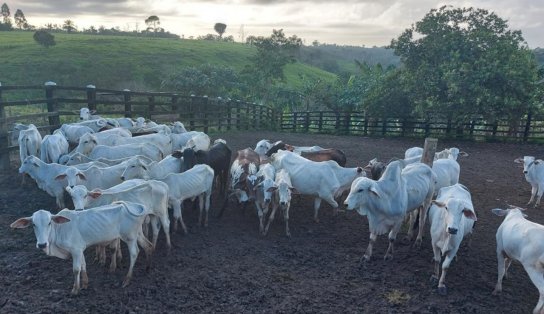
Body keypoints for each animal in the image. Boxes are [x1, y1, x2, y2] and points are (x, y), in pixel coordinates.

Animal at [9, 201, 153, 294]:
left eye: (49, 222)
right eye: (33, 224)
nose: (42, 244)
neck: (59, 229)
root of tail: (137, 206)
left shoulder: (76, 250)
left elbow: (76, 269)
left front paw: (75, 289)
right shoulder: (80, 249)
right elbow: (83, 265)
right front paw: (85, 284)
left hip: (130, 237)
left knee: (135, 253)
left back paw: (127, 279)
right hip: (138, 233)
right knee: (148, 246)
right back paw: (147, 268)